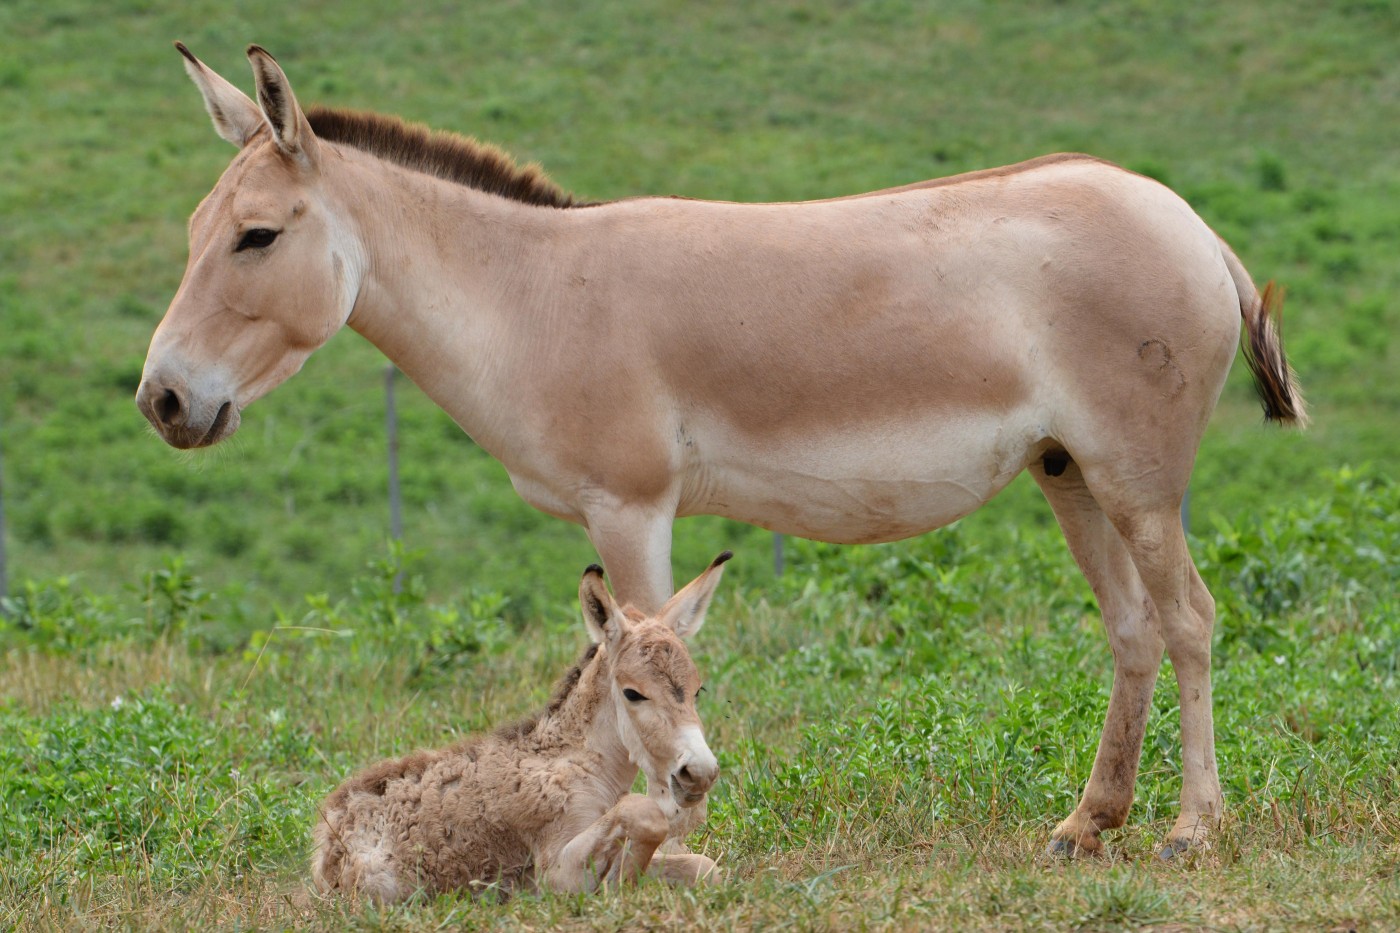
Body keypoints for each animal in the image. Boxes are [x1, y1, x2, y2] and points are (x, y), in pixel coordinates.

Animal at [312, 551, 733, 902]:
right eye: (633, 693)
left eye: (697, 689)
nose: (700, 773)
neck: (588, 767)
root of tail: (327, 830)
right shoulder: (555, 874)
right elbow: (644, 813)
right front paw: (618, 885)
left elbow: (705, 867)